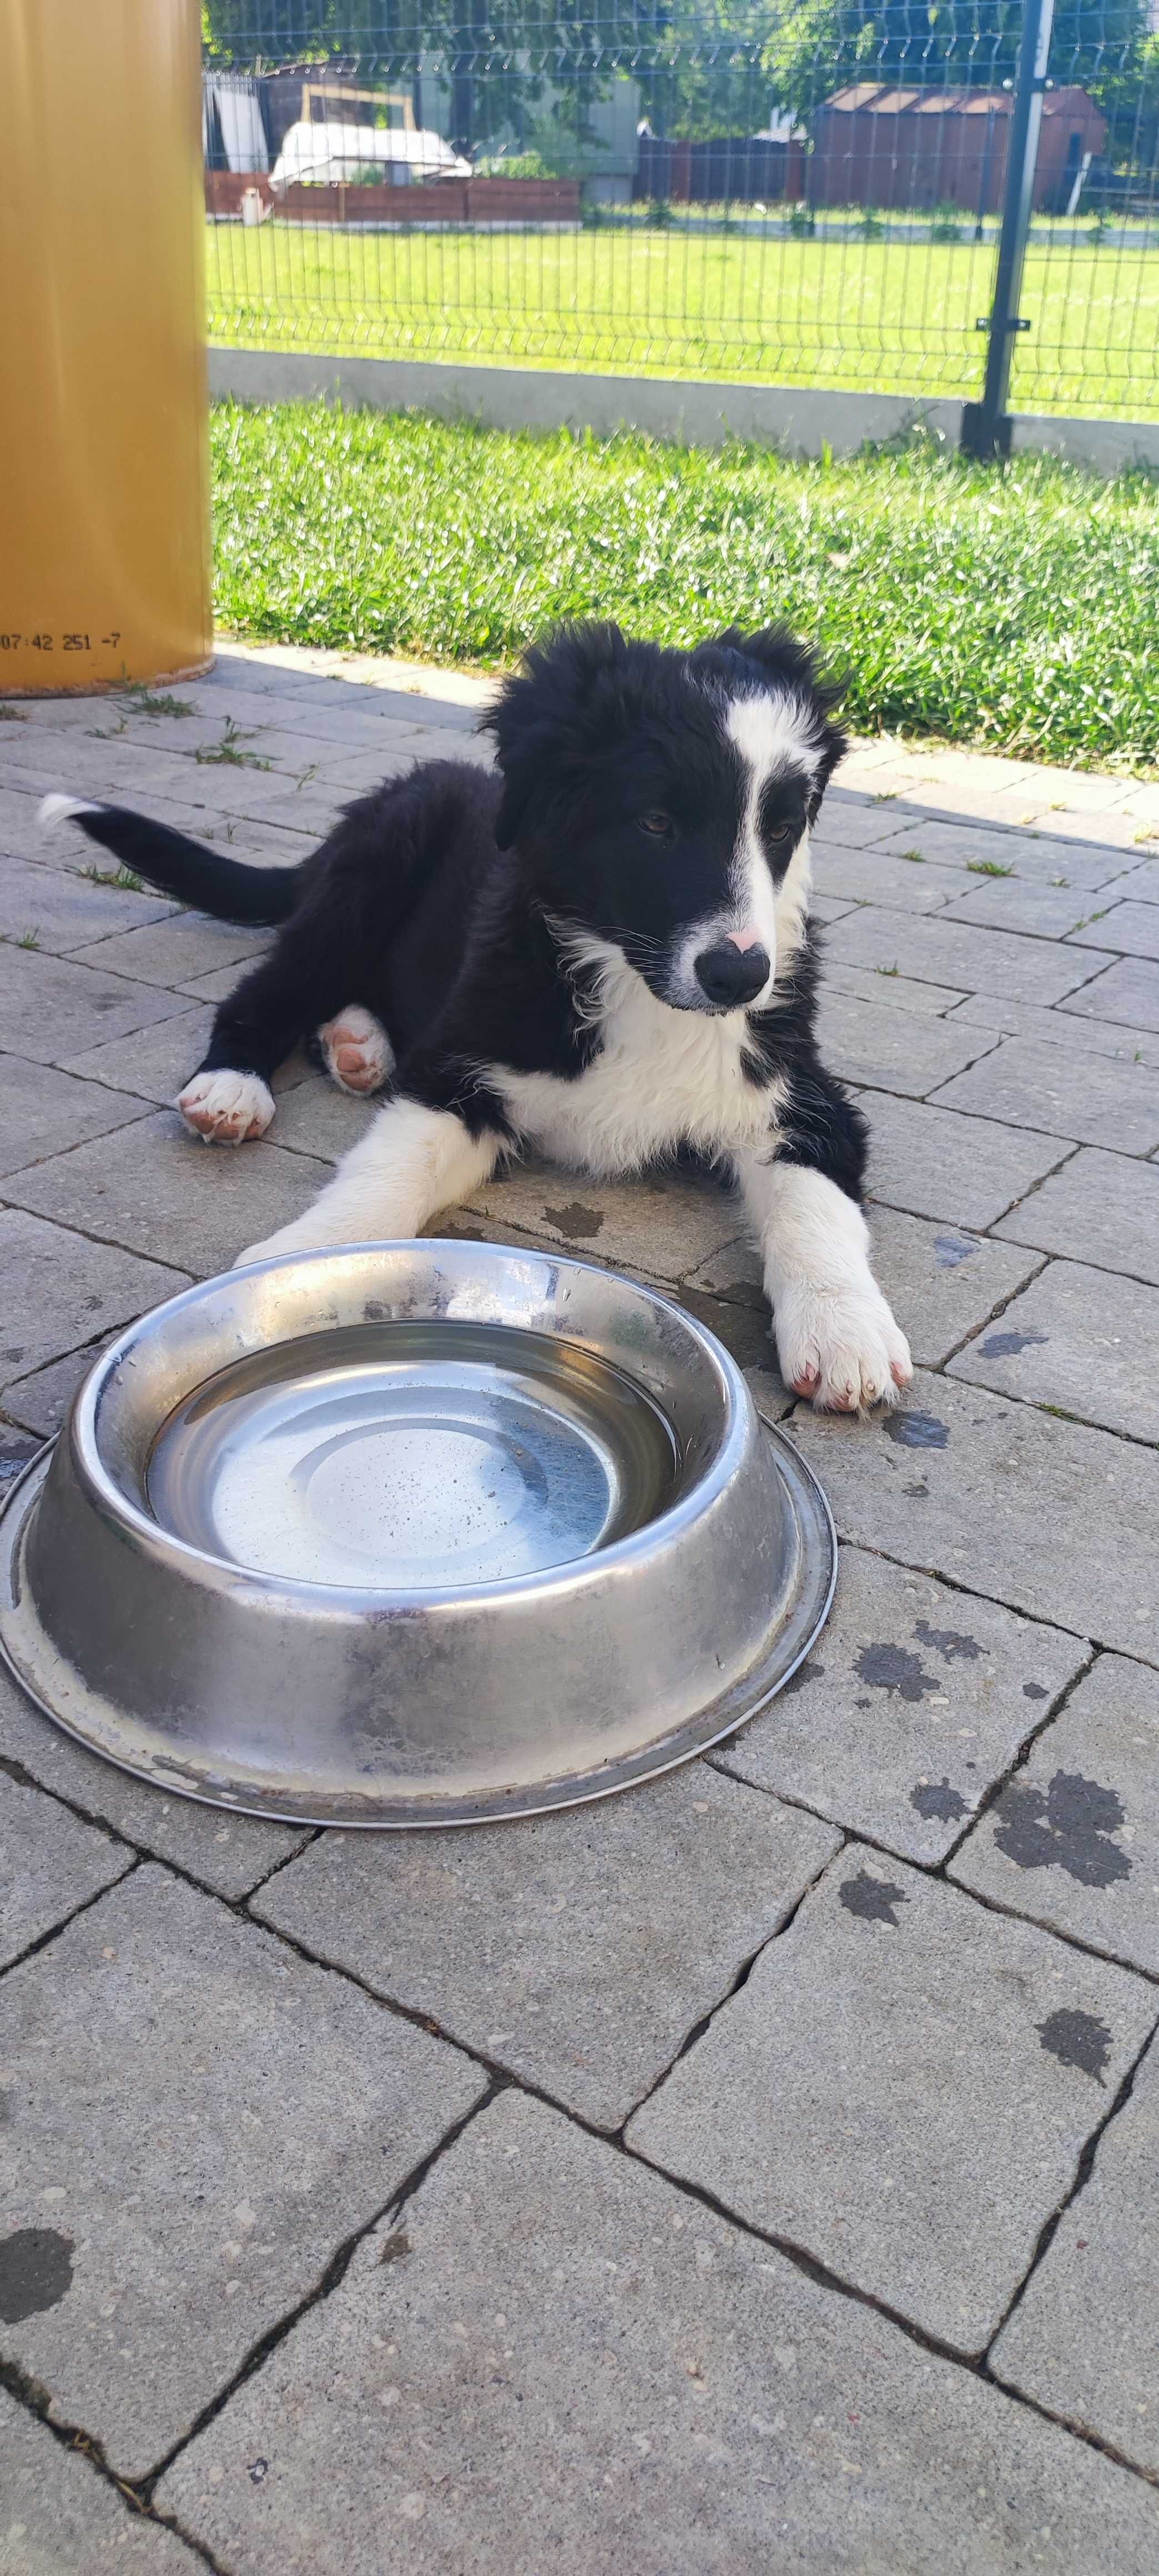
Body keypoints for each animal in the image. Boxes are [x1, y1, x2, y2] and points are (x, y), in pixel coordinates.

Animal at [41, 628, 916, 1432]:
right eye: (656, 823)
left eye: (780, 829)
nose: (739, 977)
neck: (632, 987)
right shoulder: (459, 1072)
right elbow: (389, 1170)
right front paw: (306, 1262)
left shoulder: (804, 1094)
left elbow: (816, 1206)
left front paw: (845, 1331)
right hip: (365, 881)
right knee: (273, 987)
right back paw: (232, 1085)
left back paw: (357, 1046)